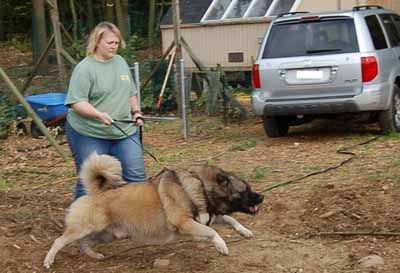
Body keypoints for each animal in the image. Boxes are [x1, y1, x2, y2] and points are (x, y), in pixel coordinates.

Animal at [43, 153, 264, 268]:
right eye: (245, 190)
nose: (262, 196)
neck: (200, 186)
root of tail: (96, 192)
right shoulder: (185, 222)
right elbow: (213, 232)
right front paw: (221, 245)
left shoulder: (207, 218)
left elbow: (230, 220)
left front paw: (244, 231)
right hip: (85, 228)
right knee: (60, 241)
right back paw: (48, 261)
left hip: (107, 235)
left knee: (84, 243)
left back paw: (94, 256)